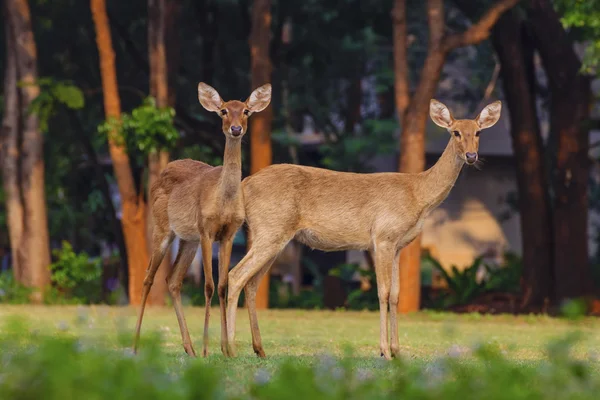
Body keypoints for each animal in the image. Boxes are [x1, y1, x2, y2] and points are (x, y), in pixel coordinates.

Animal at [134, 81, 272, 356]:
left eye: (246, 111)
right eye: (223, 111)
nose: (236, 129)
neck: (223, 199)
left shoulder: (228, 233)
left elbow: (222, 285)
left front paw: (226, 350)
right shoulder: (207, 229)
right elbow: (208, 286)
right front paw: (210, 349)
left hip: (189, 240)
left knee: (173, 280)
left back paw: (189, 348)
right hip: (163, 228)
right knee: (148, 277)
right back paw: (135, 345)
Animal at [225, 99, 502, 360]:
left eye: (478, 132)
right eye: (455, 132)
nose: (471, 156)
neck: (418, 195)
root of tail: (245, 184)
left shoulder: (398, 246)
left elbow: (396, 295)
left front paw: (397, 351)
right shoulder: (382, 237)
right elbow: (382, 292)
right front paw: (385, 351)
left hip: (271, 235)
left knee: (251, 283)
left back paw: (259, 349)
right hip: (271, 230)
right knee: (236, 275)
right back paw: (230, 349)